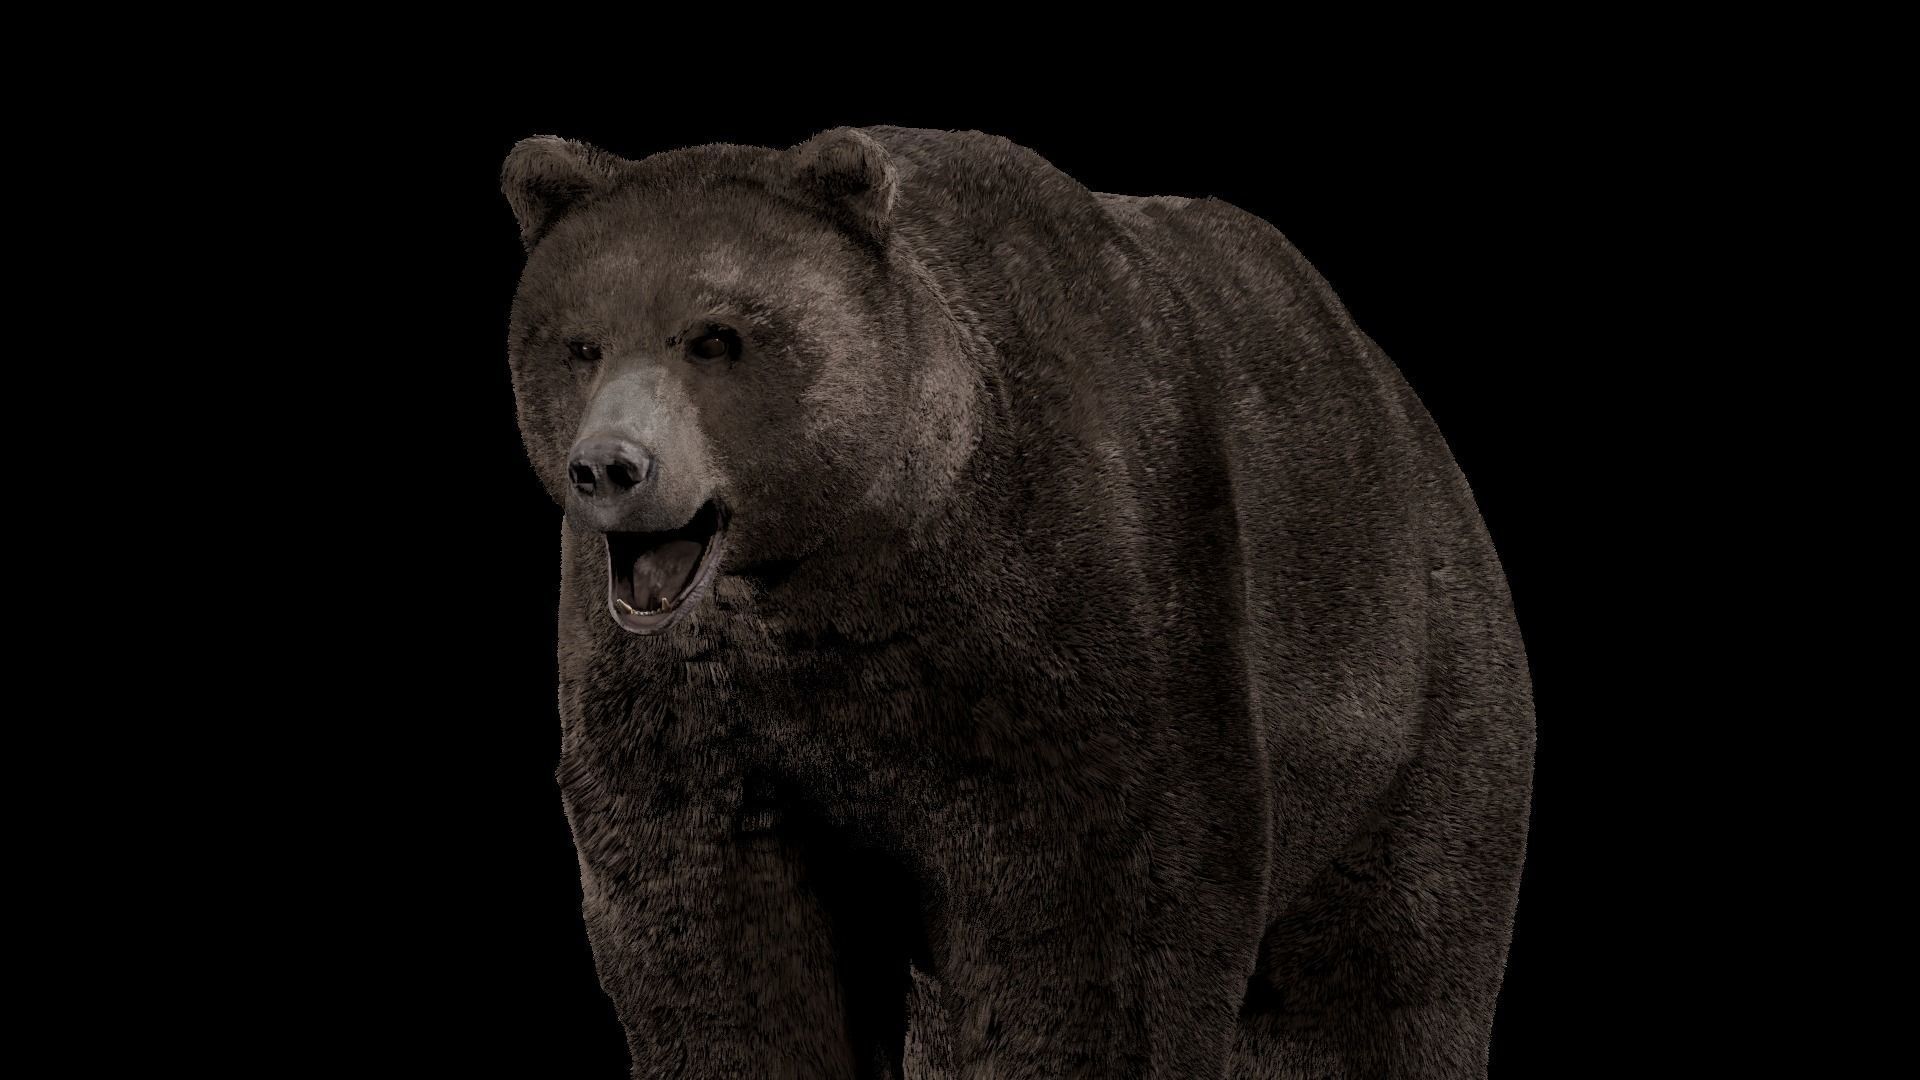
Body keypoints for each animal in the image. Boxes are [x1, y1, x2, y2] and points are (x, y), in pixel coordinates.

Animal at [499, 124, 1535, 1079]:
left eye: (716, 338)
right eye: (579, 344)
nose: (610, 466)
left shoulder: (1065, 604)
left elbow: (1105, 898)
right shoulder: (685, 691)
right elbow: (709, 909)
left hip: (1410, 680)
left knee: (1388, 964)